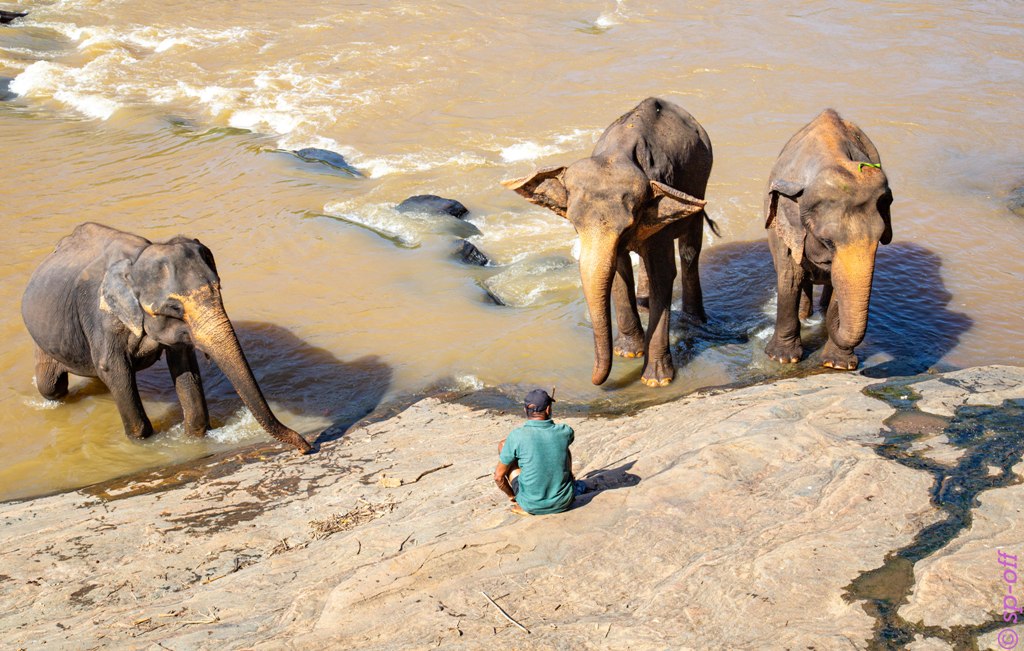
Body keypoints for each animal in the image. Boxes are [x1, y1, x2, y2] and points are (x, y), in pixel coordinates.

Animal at [22, 224, 311, 452]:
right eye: (174, 308)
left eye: (219, 287)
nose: (305, 446)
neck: (137, 258)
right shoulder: (100, 317)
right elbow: (113, 368)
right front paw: (143, 442)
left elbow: (183, 364)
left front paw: (194, 436)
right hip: (41, 340)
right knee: (52, 387)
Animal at [501, 96, 712, 386]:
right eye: (574, 225)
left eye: (627, 228)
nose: (594, 380)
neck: (617, 154)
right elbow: (620, 270)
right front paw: (628, 353)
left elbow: (663, 273)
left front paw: (657, 380)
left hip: (701, 181)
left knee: (690, 249)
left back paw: (694, 322)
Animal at [765, 109, 892, 368]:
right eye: (827, 241)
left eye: (879, 240)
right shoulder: (785, 228)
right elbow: (790, 277)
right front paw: (782, 358)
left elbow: (837, 283)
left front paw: (837, 364)